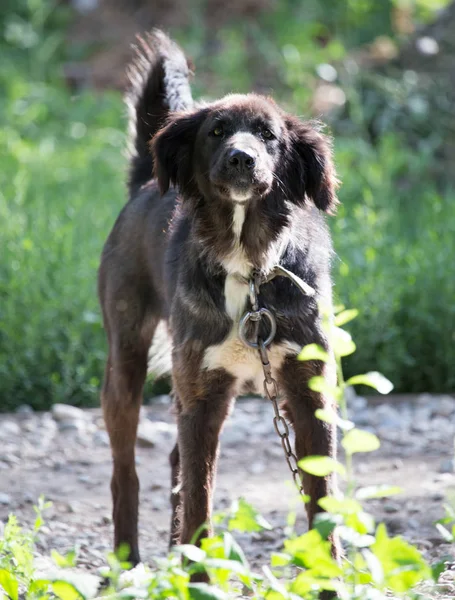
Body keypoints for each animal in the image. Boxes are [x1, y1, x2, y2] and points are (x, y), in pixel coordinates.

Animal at [100, 30, 342, 568]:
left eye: (269, 135)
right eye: (215, 131)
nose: (241, 158)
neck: (248, 266)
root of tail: (144, 181)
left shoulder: (307, 393)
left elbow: (322, 501)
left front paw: (329, 575)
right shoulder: (203, 395)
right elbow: (199, 503)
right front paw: (199, 579)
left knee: (174, 460)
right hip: (126, 361)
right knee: (126, 472)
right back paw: (128, 562)